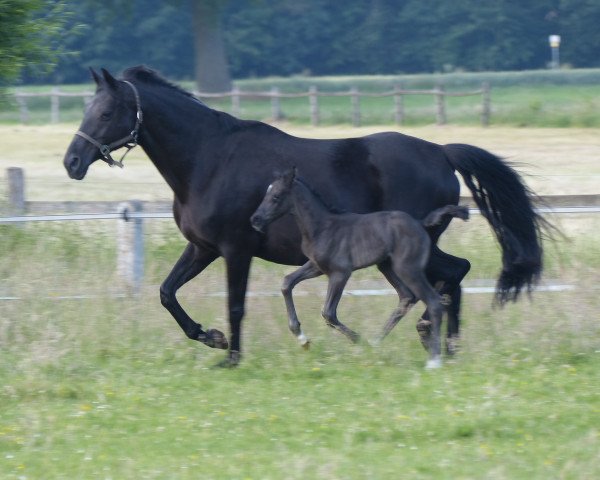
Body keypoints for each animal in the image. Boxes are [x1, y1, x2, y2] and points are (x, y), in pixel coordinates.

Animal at [251, 169, 472, 368]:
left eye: (276, 196)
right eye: (266, 193)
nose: (255, 220)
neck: (322, 227)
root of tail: (420, 223)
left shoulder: (340, 273)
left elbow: (328, 313)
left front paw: (359, 342)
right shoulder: (316, 266)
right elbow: (287, 283)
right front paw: (301, 338)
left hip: (408, 268)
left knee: (433, 301)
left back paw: (433, 360)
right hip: (387, 266)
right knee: (407, 296)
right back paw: (377, 343)